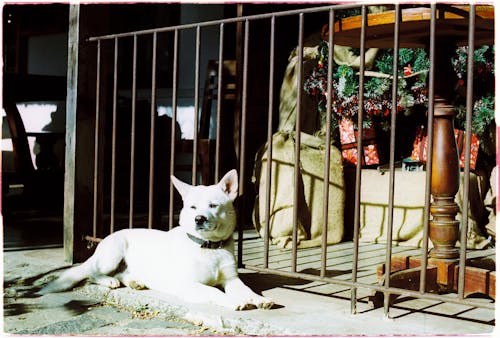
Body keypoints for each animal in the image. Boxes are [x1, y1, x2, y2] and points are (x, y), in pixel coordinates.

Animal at [40, 170, 274, 310]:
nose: (199, 219)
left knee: (122, 273)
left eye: (213, 205)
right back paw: (109, 281)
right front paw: (234, 301)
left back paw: (134, 281)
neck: (208, 247)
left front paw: (259, 299)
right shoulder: (189, 285)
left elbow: (246, 289)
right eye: (193, 207)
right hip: (112, 255)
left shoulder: (232, 280)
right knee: (92, 274)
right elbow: (213, 291)